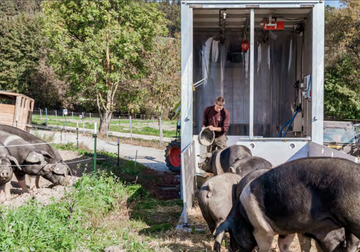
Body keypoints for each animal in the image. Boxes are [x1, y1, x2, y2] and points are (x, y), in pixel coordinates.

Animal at [215, 158, 360, 252]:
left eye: (232, 233)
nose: (232, 248)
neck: (244, 216)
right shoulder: (288, 229)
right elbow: (284, 244)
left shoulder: (263, 230)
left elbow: (265, 246)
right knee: (352, 243)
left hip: (352, 216)